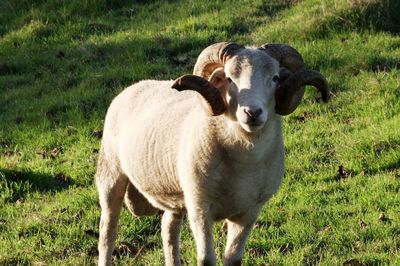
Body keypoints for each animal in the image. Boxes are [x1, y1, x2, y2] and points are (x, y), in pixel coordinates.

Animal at [97, 42, 328, 266]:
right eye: (229, 78)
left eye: (275, 78)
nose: (252, 113)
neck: (244, 161)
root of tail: (134, 86)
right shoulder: (200, 207)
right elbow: (206, 259)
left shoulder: (249, 212)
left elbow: (233, 259)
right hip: (111, 176)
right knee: (108, 234)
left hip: (175, 194)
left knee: (168, 227)